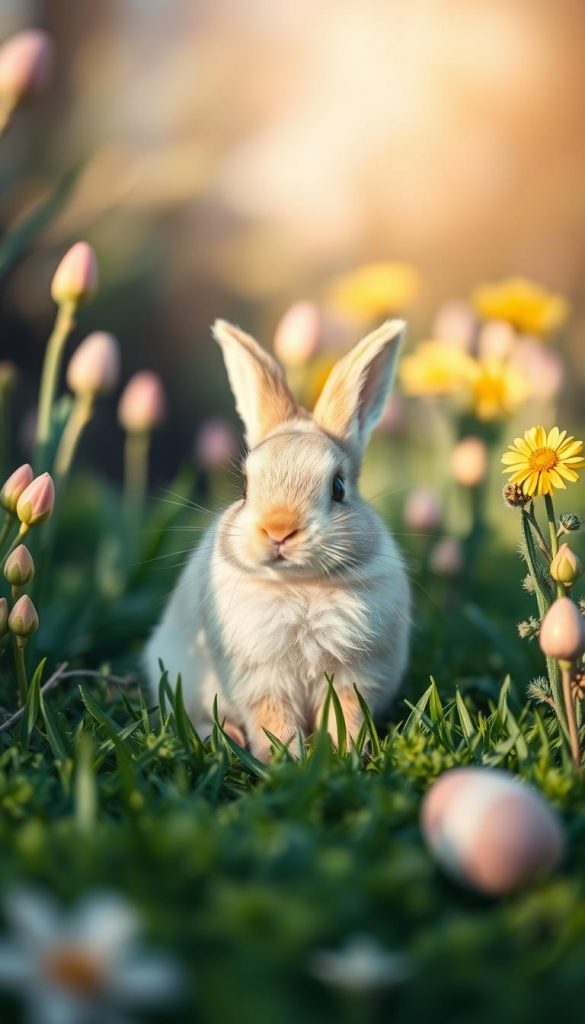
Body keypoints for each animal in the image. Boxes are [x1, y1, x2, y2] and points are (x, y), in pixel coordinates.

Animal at [144, 317, 411, 760]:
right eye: (245, 486)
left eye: (338, 487)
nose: (279, 530)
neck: (299, 585)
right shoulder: (261, 679)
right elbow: (273, 719)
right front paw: (287, 760)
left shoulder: (355, 674)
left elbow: (347, 715)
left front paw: (341, 755)